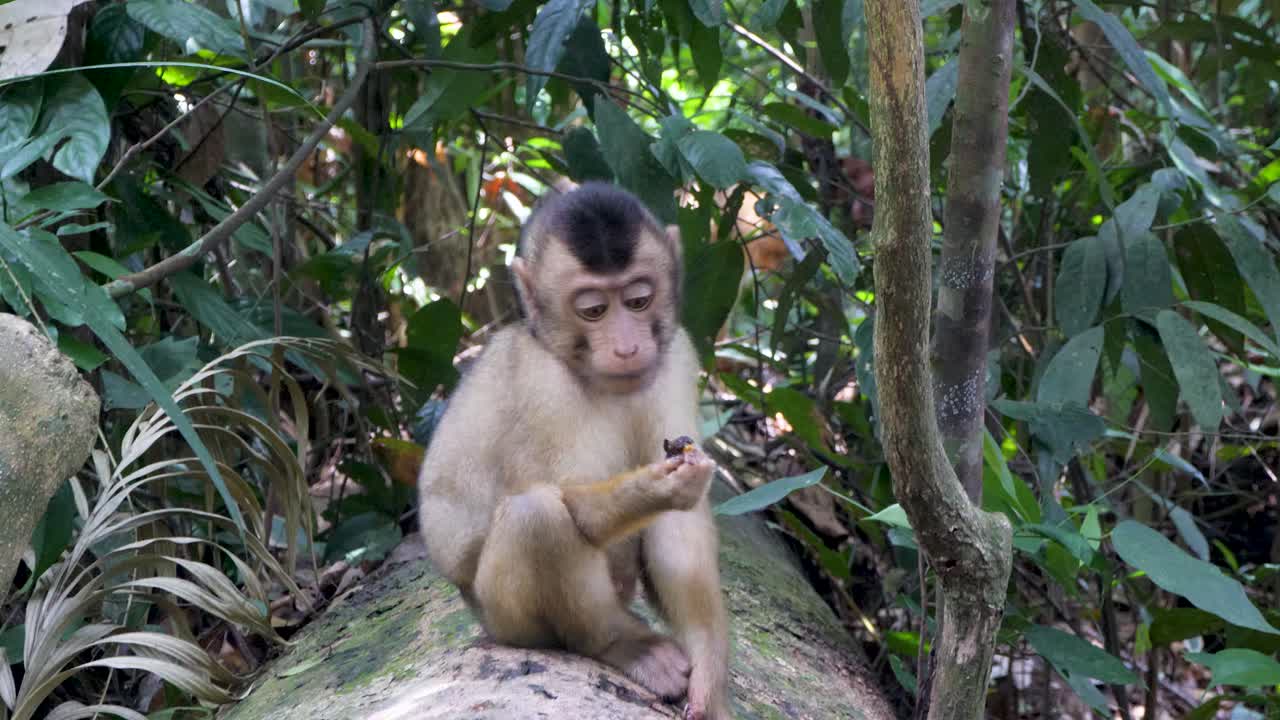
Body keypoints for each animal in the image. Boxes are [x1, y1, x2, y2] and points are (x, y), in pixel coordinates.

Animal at [416, 182, 732, 720]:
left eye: (639, 299)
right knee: (536, 515)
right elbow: (565, 496)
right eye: (593, 310)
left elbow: (682, 525)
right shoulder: (540, 384)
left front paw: (711, 674)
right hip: (506, 621)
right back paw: (622, 646)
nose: (627, 347)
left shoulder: (677, 355)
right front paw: (656, 487)